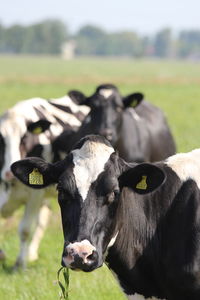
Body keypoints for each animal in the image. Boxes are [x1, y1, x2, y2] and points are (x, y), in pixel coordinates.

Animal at [0, 95, 89, 268]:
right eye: (1, 141)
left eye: (24, 138)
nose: (8, 173)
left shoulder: (35, 195)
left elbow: (25, 230)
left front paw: (20, 264)